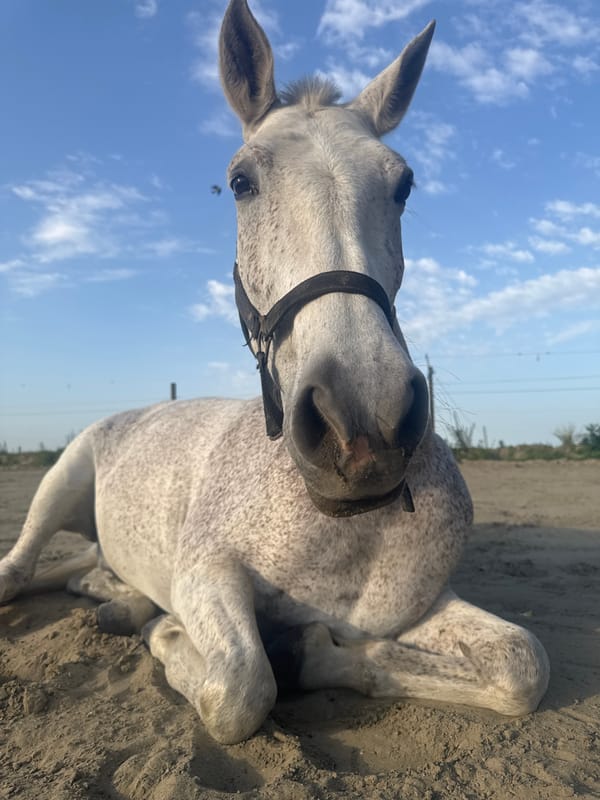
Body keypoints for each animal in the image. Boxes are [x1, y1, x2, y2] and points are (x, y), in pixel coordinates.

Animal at [0, 0, 549, 745]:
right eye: (240, 183)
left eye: (403, 185)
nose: (363, 418)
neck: (339, 526)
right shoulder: (206, 576)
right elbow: (239, 688)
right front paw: (171, 637)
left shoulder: (423, 604)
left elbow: (521, 666)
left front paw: (315, 652)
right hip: (61, 481)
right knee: (20, 569)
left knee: (86, 568)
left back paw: (115, 598)